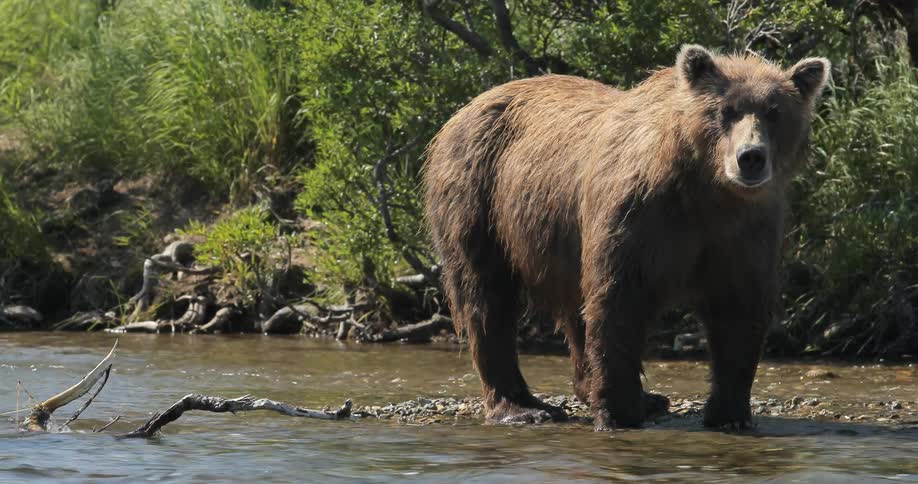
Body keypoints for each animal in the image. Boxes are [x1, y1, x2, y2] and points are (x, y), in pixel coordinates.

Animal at [422, 45, 830, 430]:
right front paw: (618, 412)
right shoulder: (638, 217)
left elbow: (738, 309)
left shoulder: (745, 231)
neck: (706, 192)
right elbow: (619, 298)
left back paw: (636, 397)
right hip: (478, 193)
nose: (750, 157)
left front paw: (729, 414)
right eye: (726, 110)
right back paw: (523, 407)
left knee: (571, 306)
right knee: (486, 295)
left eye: (774, 112)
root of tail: (466, 107)